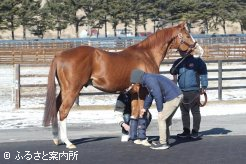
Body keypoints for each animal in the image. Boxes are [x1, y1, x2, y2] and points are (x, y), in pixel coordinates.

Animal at [42, 21, 204, 149]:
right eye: (187, 35)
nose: (200, 50)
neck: (147, 54)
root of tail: (60, 55)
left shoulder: (134, 92)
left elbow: (134, 114)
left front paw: (136, 139)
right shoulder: (143, 91)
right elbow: (142, 113)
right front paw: (143, 140)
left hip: (64, 90)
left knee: (56, 107)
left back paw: (57, 139)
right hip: (72, 90)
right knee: (63, 111)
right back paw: (68, 142)